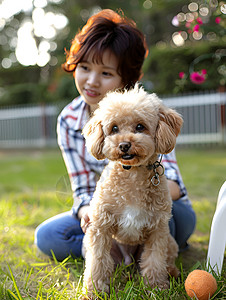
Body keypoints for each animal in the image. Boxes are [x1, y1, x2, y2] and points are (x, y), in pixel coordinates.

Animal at [81, 84, 182, 298]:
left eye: (140, 127)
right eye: (114, 128)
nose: (124, 144)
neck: (132, 174)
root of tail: (127, 262)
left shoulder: (157, 230)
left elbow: (155, 261)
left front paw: (156, 287)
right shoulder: (100, 228)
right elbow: (97, 263)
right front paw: (94, 291)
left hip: (170, 242)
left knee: (165, 260)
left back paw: (171, 271)